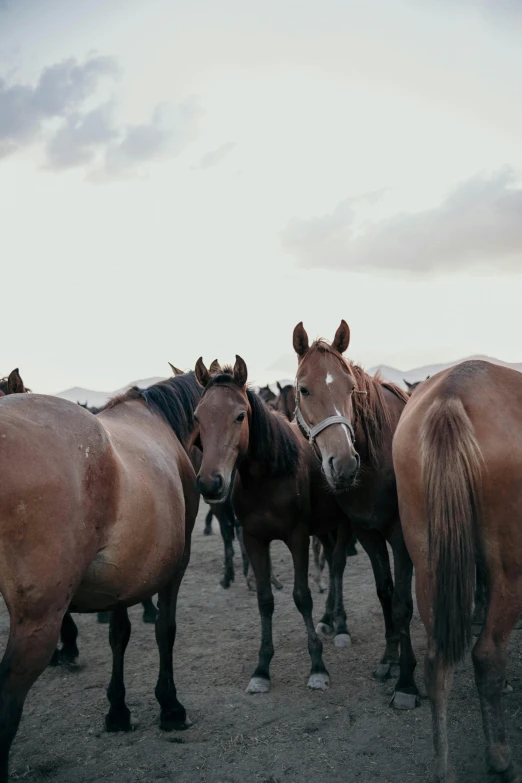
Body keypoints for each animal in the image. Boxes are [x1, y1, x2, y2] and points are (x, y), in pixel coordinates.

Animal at [0, 370, 201, 780]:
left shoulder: (122, 576)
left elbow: (118, 635)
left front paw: (118, 711)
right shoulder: (176, 568)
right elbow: (165, 630)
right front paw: (170, 707)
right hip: (37, 622)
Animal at [192, 356, 350, 692]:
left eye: (240, 415)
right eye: (198, 416)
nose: (210, 483)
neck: (267, 477)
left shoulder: (298, 537)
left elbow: (302, 597)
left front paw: (317, 666)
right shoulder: (254, 539)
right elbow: (265, 601)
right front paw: (262, 668)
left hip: (342, 524)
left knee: (338, 565)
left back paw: (341, 625)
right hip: (324, 527)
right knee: (331, 561)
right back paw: (328, 619)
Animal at [292, 318, 418, 712]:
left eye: (351, 388)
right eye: (303, 389)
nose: (344, 465)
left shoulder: (400, 537)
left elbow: (403, 604)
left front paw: (407, 683)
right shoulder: (367, 532)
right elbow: (385, 594)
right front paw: (389, 660)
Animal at [392, 362, 520, 783]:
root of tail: (452, 394)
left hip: (428, 565)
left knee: (436, 664)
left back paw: (443, 767)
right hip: (511, 572)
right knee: (488, 654)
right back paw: (500, 757)